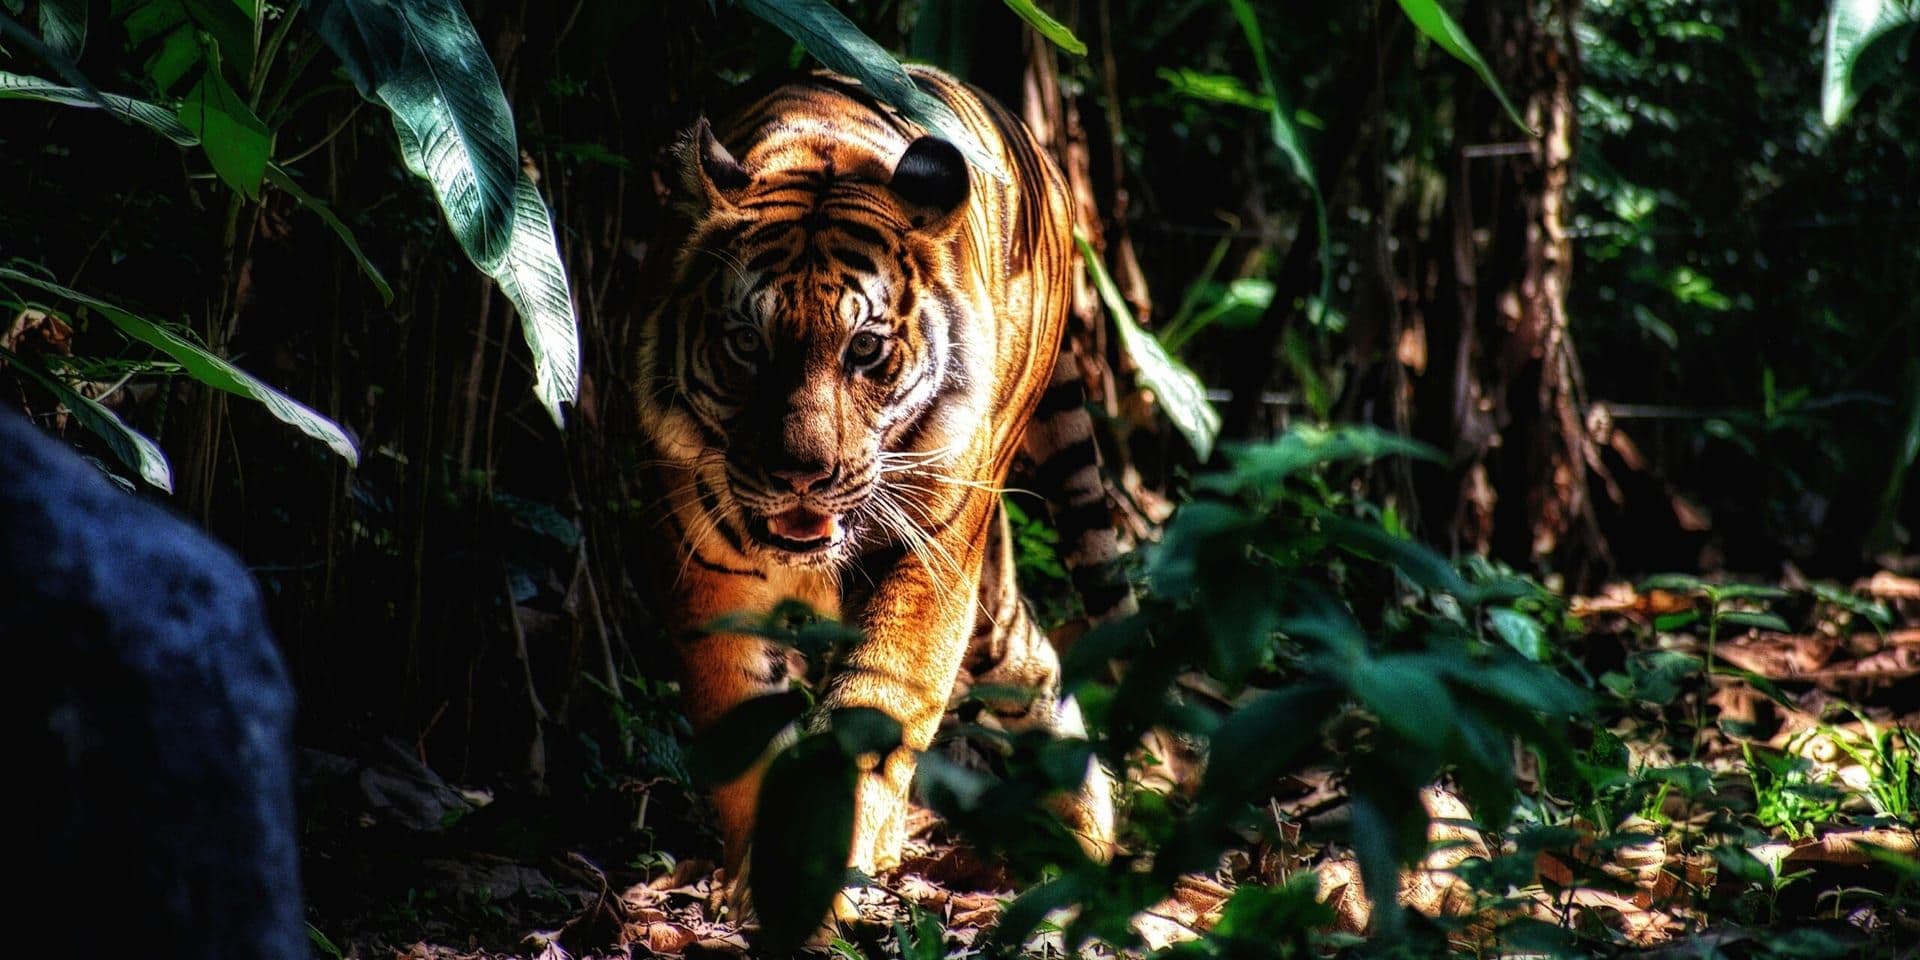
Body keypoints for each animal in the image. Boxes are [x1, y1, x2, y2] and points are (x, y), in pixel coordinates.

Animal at [633, 65, 1134, 888]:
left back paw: (1085, 838)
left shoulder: (930, 565)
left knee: (1024, 659)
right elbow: (744, 727)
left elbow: (877, 708)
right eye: (747, 344)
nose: (801, 474)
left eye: (864, 348)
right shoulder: (709, 582)